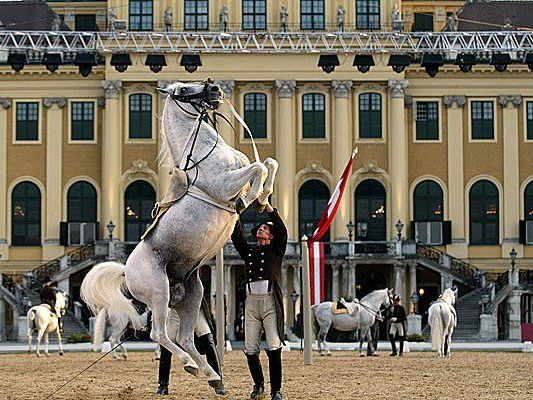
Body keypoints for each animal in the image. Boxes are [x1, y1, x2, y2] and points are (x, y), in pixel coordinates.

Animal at [81, 79, 278, 392]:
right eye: (183, 89)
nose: (215, 90)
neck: (204, 152)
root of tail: (126, 271)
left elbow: (269, 162)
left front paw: (262, 197)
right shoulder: (225, 184)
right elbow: (258, 167)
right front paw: (253, 198)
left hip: (192, 295)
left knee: (185, 338)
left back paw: (211, 374)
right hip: (159, 294)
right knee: (160, 336)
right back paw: (192, 366)